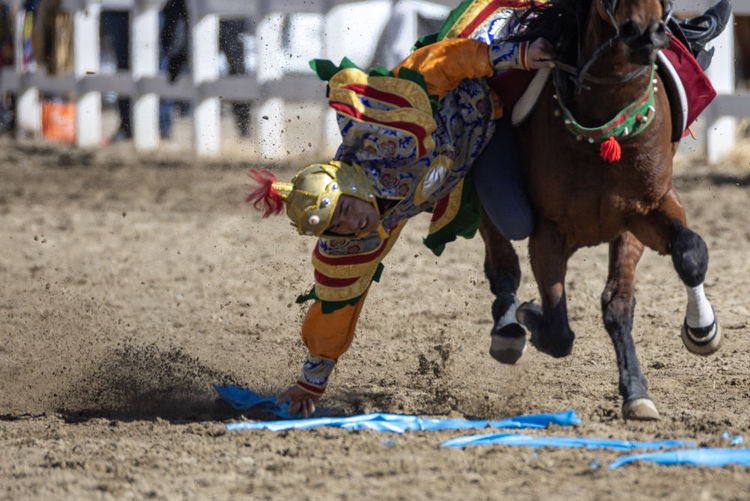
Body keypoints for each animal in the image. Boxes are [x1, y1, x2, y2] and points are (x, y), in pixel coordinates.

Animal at [482, 0, 724, 420]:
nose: (644, 34)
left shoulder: (645, 212)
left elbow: (682, 259)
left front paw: (695, 334)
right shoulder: (548, 231)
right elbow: (558, 331)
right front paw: (530, 314)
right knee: (502, 262)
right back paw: (509, 328)